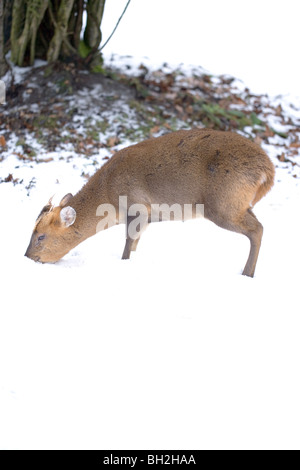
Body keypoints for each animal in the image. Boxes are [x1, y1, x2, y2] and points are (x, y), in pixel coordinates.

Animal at [25, 129, 274, 276]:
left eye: (41, 236)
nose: (27, 257)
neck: (108, 193)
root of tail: (267, 170)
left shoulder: (137, 205)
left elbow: (128, 244)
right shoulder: (150, 216)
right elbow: (135, 244)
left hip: (223, 204)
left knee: (257, 229)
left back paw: (247, 273)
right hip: (239, 203)